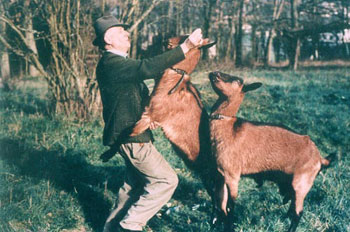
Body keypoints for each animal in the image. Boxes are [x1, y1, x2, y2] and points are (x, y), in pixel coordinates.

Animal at [208, 71, 334, 232]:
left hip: (302, 183)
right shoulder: (221, 175)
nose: (213, 73)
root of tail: (320, 158)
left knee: (298, 213)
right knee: (292, 208)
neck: (229, 128)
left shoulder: (232, 175)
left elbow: (230, 207)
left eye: (236, 80)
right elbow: (220, 205)